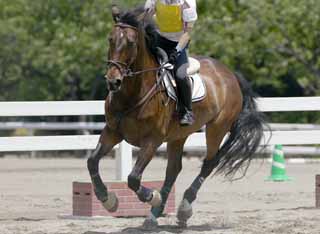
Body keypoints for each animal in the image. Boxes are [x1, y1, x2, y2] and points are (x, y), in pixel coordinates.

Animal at [87, 5, 264, 229]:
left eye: (131, 42)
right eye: (110, 39)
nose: (113, 81)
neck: (132, 94)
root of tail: (230, 74)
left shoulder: (152, 140)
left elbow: (133, 178)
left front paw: (152, 196)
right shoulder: (113, 132)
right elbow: (92, 161)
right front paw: (107, 199)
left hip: (217, 128)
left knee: (209, 163)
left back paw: (183, 209)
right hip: (179, 135)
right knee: (173, 169)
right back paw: (153, 216)